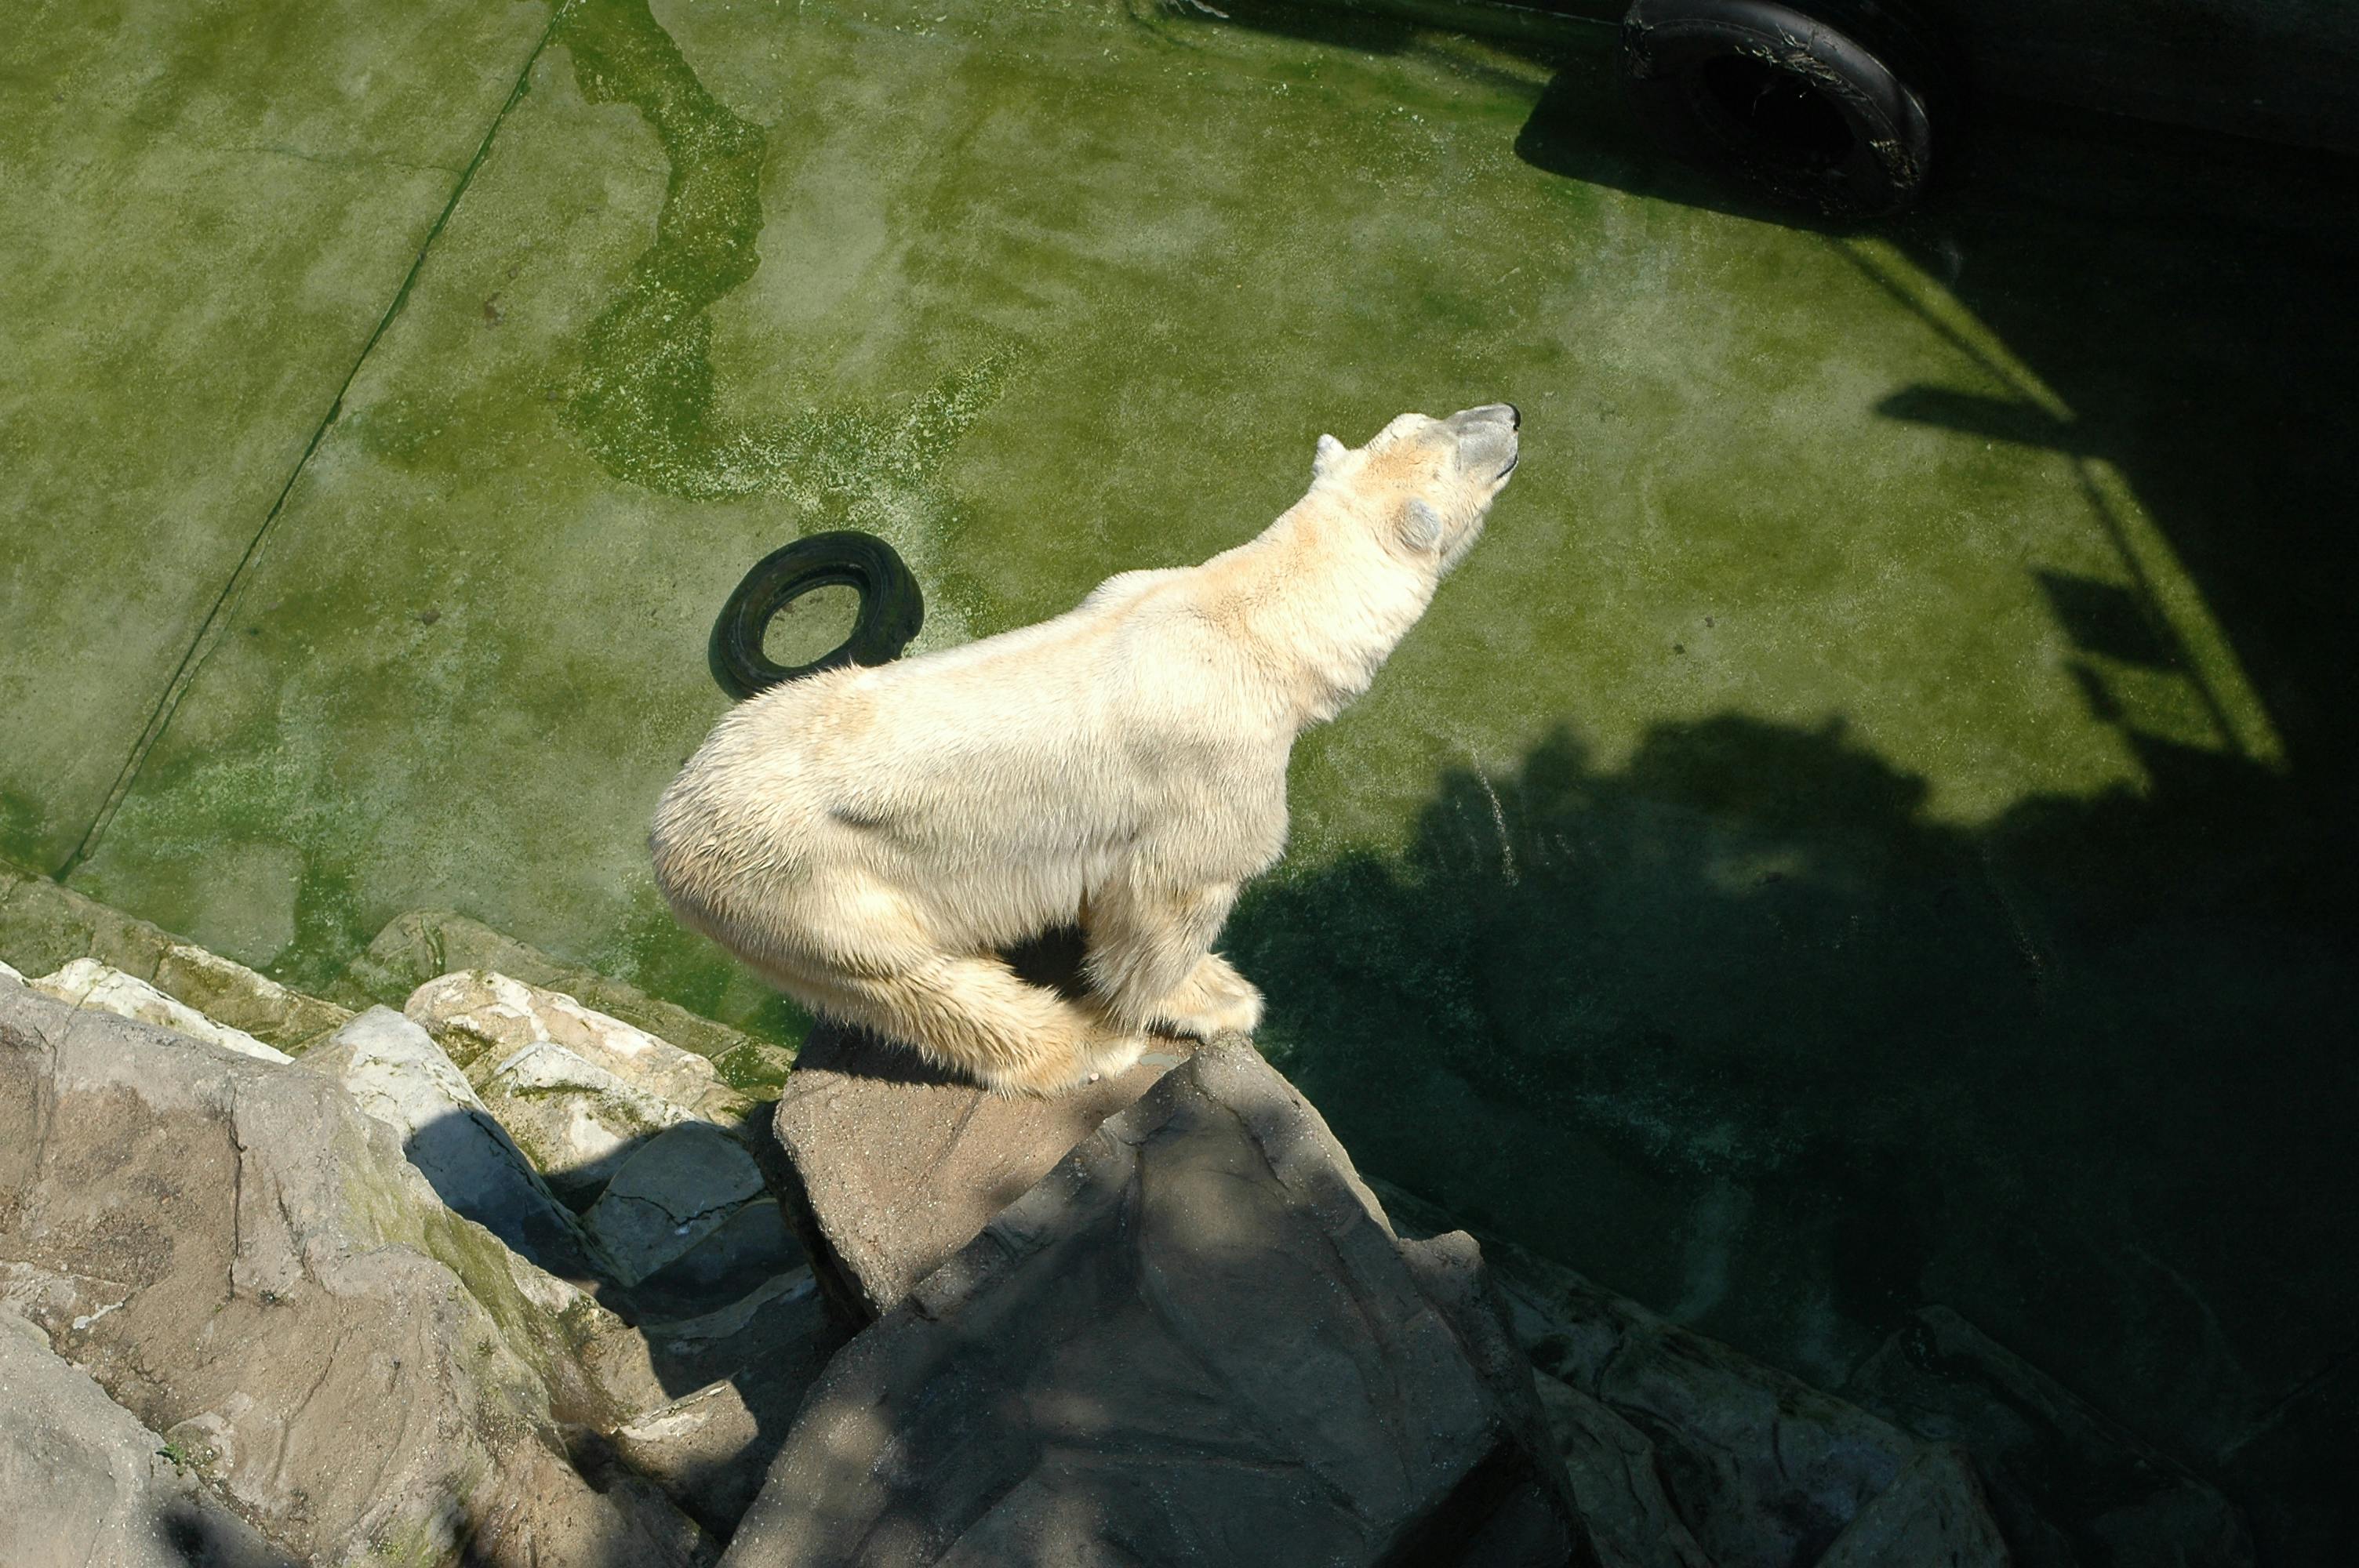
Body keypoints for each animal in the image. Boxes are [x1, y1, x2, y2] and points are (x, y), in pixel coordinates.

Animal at [650, 403, 1521, 1095]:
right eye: (1457, 450)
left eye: (1426, 417)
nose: (1510, 414)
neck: (1248, 622)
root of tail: (668, 824)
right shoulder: (1218, 771)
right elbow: (1167, 903)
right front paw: (1219, 997)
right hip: (806, 887)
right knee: (915, 982)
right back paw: (1084, 1049)